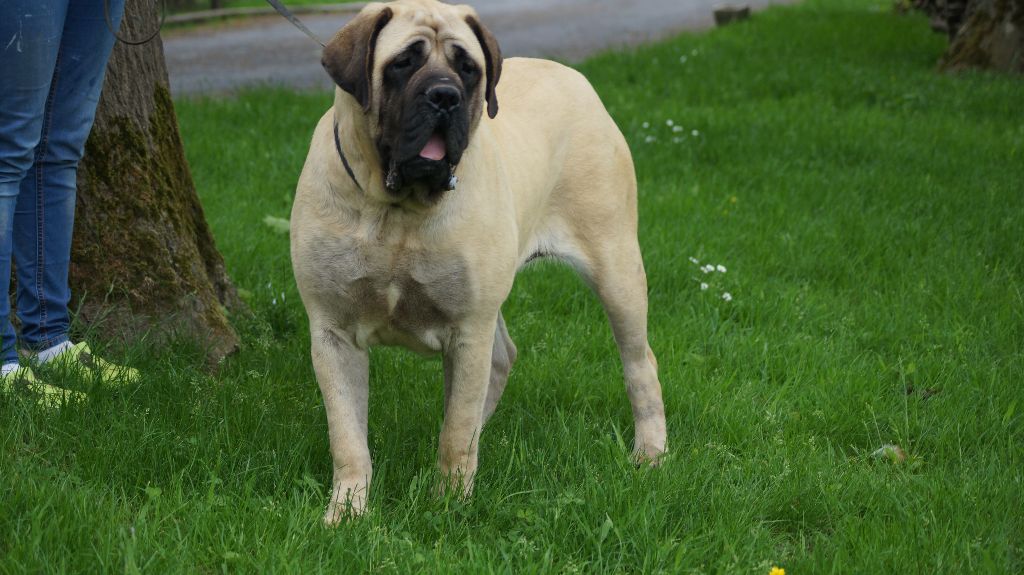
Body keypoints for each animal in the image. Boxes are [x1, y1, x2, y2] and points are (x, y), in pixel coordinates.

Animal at [292, 0, 667, 521]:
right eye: (403, 63)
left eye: (467, 68)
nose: (445, 96)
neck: (396, 210)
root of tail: (576, 77)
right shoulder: (333, 332)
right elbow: (347, 436)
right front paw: (347, 512)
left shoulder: (467, 327)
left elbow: (454, 431)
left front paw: (449, 503)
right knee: (500, 361)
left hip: (615, 267)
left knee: (639, 362)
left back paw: (650, 453)